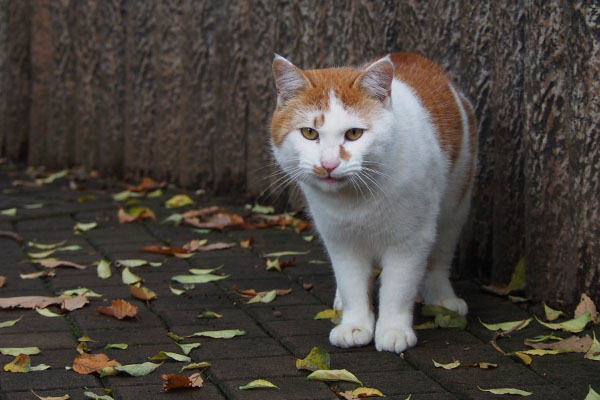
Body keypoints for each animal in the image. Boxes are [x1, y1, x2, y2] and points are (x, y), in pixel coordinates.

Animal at [270, 53, 476, 354]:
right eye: (309, 133)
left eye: (354, 134)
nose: (329, 164)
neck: (356, 201)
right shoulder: (340, 240)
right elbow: (352, 284)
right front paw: (355, 325)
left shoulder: (410, 241)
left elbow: (397, 289)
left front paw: (393, 330)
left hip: (455, 209)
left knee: (439, 260)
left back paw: (442, 298)